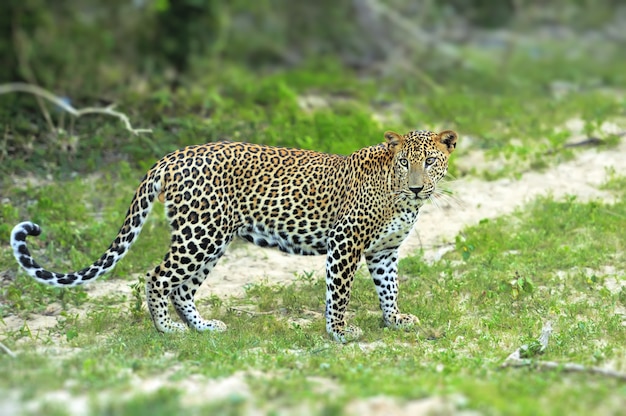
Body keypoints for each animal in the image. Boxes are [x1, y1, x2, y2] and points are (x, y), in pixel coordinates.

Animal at [9, 128, 456, 342]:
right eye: (404, 162)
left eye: (431, 162)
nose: (418, 187)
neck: (401, 199)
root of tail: (172, 156)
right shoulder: (345, 243)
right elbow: (339, 294)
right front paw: (340, 333)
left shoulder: (384, 252)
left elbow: (389, 288)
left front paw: (395, 320)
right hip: (200, 235)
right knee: (157, 276)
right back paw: (166, 329)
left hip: (212, 238)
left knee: (182, 288)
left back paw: (202, 328)